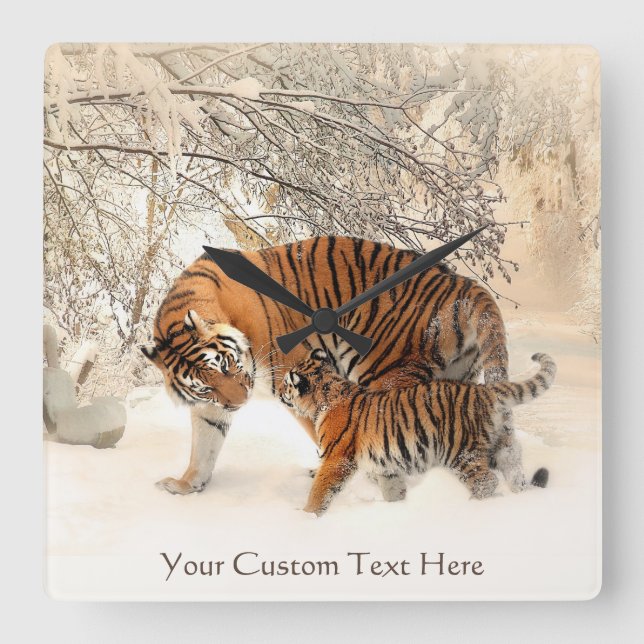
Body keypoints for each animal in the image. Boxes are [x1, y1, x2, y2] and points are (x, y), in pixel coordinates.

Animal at [141, 235, 521, 498]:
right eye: (205, 386)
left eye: (226, 366)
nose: (240, 403)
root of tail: (462, 283)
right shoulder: (211, 406)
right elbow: (204, 445)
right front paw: (186, 485)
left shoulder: (296, 378)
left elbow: (327, 432)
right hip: (456, 379)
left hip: (388, 374)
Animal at [279, 349, 555, 516]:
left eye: (285, 383)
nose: (280, 392)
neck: (325, 396)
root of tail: (484, 390)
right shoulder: (386, 465)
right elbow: (392, 489)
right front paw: (398, 508)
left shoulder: (337, 459)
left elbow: (320, 490)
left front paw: (306, 517)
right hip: (502, 446)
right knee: (514, 470)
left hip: (460, 452)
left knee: (486, 482)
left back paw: (472, 507)